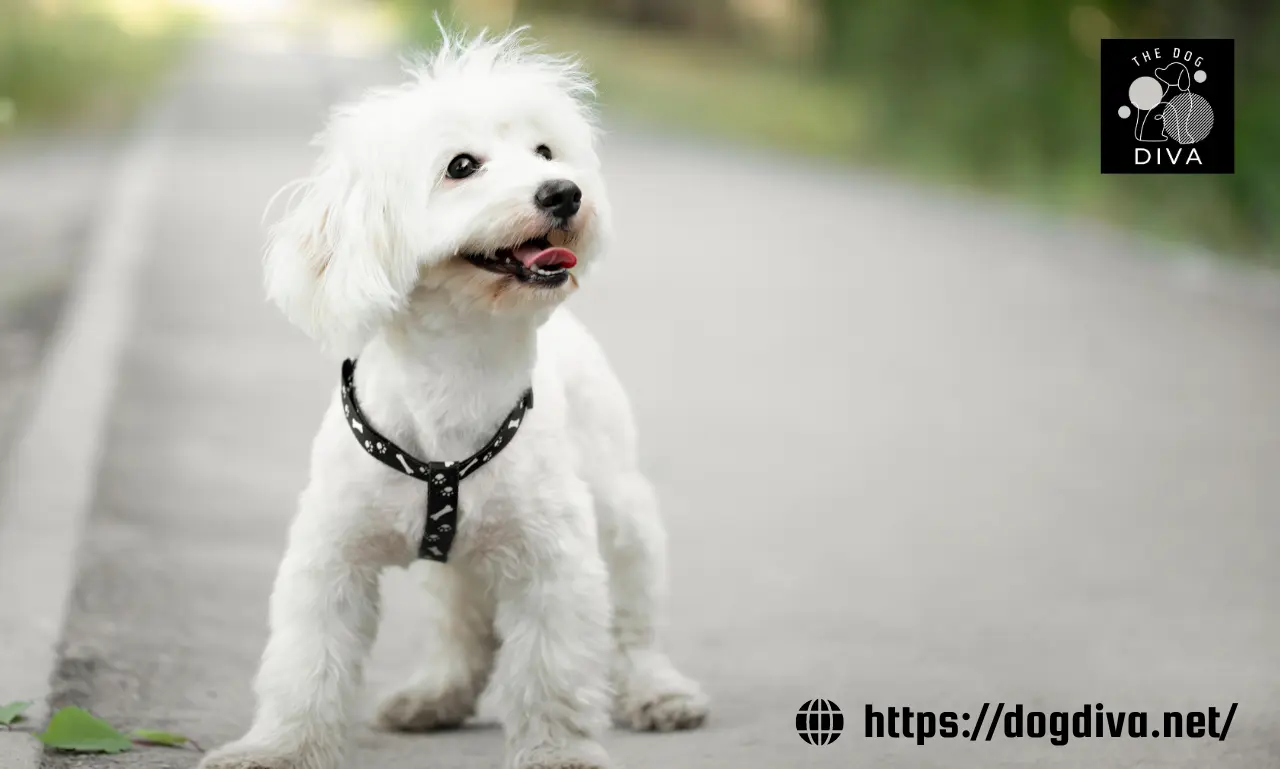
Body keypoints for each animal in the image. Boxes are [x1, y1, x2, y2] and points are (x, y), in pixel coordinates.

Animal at [204, 28, 716, 767]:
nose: (564, 192)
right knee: (462, 624)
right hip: (460, 565)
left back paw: (657, 689)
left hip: (622, 511)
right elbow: (307, 660)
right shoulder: (330, 554)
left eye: (544, 152)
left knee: (632, 620)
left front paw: (557, 751)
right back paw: (436, 693)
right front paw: (277, 746)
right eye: (462, 165)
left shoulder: (555, 559)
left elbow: (552, 669)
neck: (457, 373)